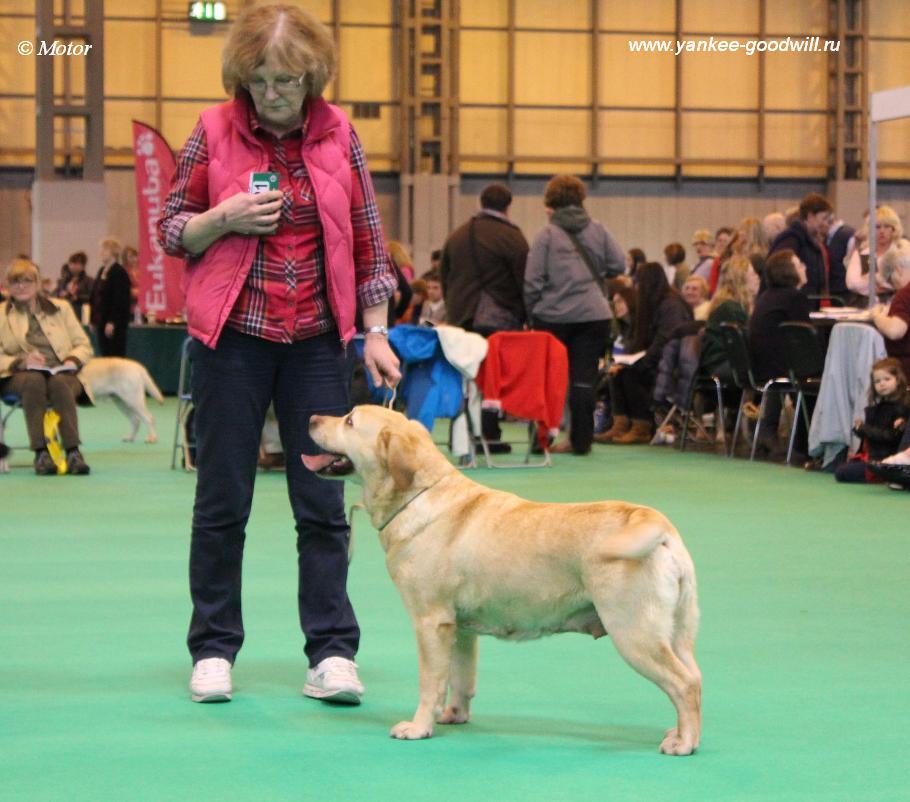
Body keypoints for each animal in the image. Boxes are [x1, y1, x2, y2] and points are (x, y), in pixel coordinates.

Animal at [306, 410, 704, 752]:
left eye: (349, 420)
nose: (311, 418)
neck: (419, 495)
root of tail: (662, 529)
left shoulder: (430, 622)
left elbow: (431, 682)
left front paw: (419, 727)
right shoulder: (460, 629)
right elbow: (461, 678)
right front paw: (454, 715)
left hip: (633, 632)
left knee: (683, 684)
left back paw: (683, 744)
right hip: (677, 632)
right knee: (696, 678)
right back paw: (681, 733)